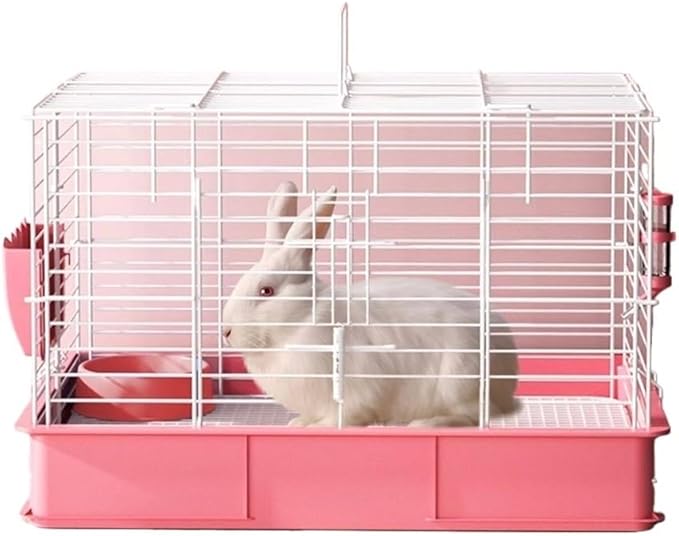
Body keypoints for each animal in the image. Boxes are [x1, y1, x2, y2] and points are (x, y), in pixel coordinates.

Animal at [222, 181, 519, 427]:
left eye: (266, 290)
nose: (226, 331)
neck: (302, 320)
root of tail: (508, 382)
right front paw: (299, 423)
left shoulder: (356, 389)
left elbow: (344, 415)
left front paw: (318, 427)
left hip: (458, 381)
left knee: (472, 416)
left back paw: (425, 424)